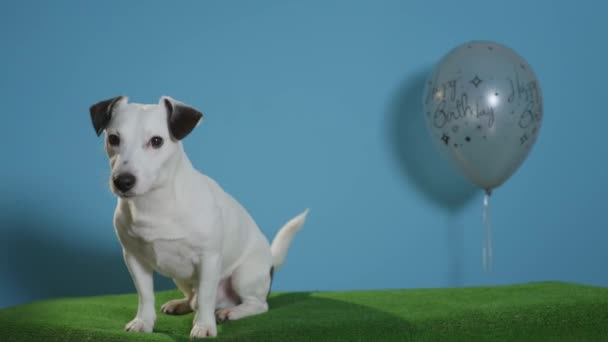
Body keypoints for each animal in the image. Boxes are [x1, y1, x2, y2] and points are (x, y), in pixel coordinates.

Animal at [89, 95, 308, 338]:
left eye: (156, 141)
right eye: (113, 139)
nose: (123, 181)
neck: (154, 203)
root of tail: (270, 261)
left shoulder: (208, 259)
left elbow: (205, 296)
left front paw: (204, 326)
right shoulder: (134, 258)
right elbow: (145, 295)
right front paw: (143, 321)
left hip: (244, 276)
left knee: (256, 304)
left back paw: (230, 312)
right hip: (180, 278)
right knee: (193, 298)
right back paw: (182, 304)